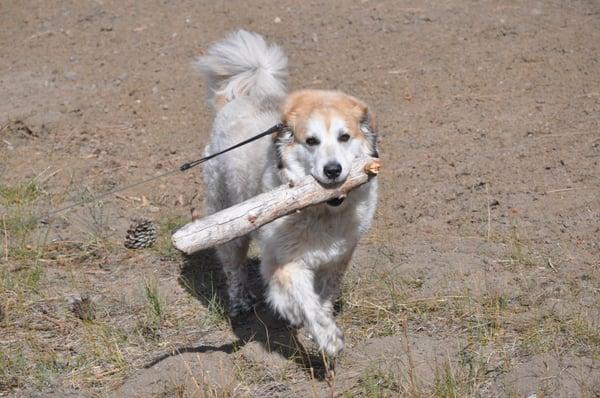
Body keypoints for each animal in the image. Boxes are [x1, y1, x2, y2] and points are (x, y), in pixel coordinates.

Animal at [195, 29, 378, 356]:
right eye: (311, 141)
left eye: (344, 137)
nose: (333, 170)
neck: (323, 214)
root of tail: (238, 97)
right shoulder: (284, 261)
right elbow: (304, 299)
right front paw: (326, 337)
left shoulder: (338, 258)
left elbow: (323, 296)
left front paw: (316, 323)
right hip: (226, 218)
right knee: (233, 266)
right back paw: (241, 302)